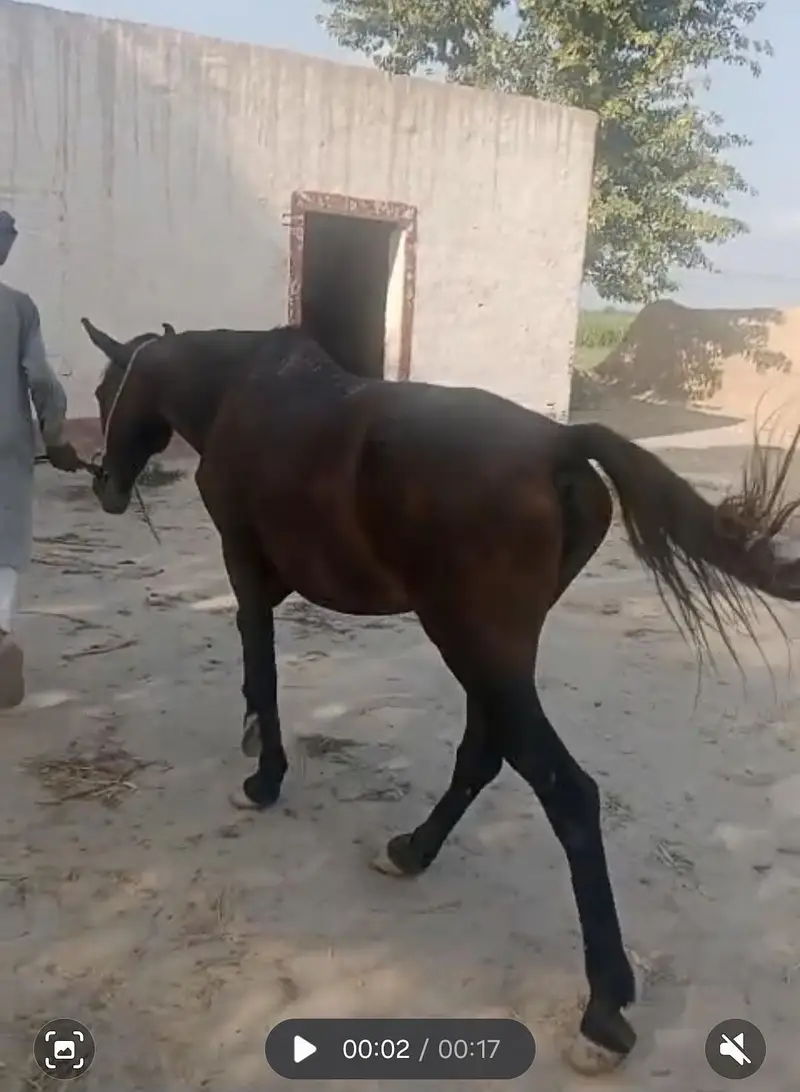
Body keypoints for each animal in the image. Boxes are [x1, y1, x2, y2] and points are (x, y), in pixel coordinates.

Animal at [80, 315, 800, 1075]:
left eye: (103, 390)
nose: (106, 486)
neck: (238, 391)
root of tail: (559, 443)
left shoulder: (244, 567)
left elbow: (262, 670)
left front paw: (263, 777)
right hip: (494, 653)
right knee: (485, 755)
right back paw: (412, 851)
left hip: (472, 644)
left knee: (567, 791)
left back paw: (603, 1010)